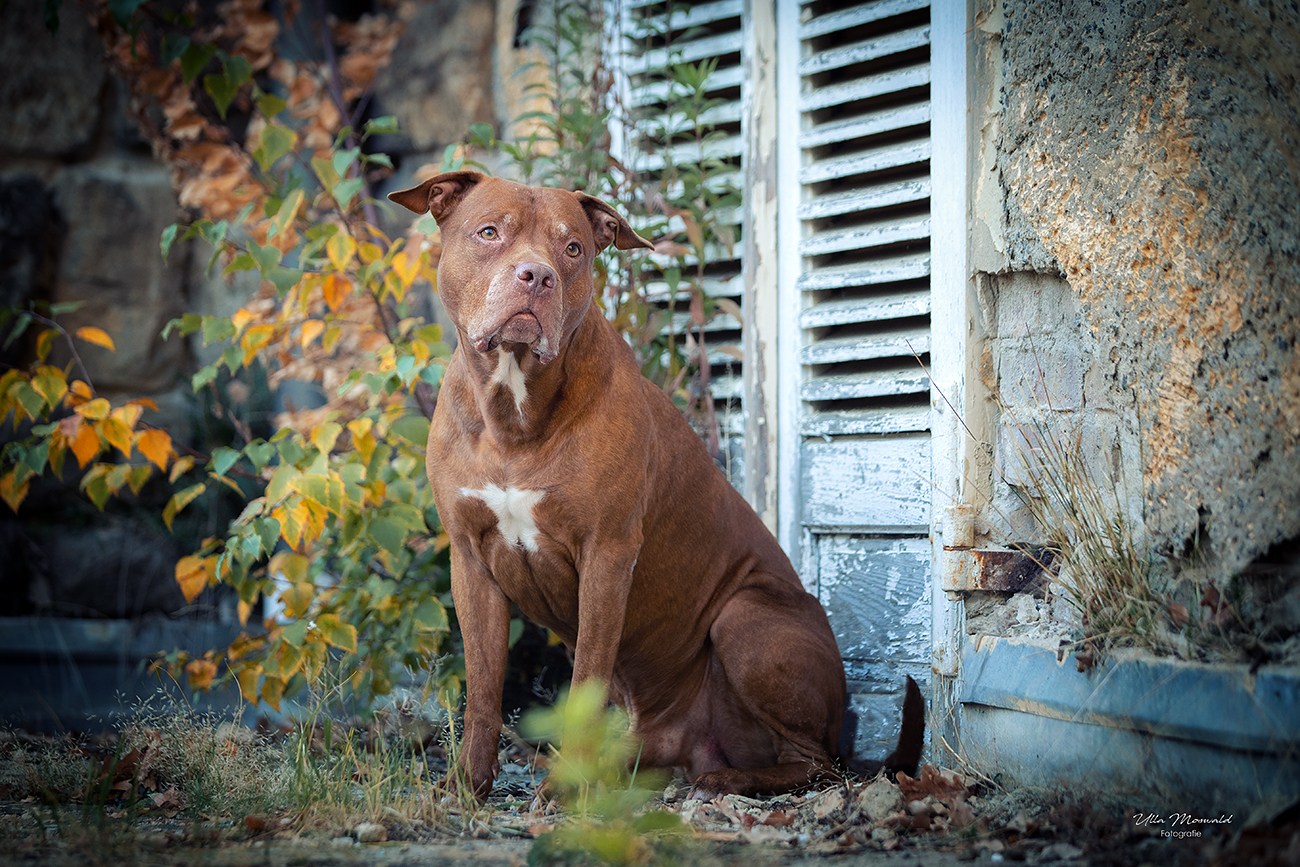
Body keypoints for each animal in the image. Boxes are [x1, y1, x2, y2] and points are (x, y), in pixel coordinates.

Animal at [387, 171, 925, 800]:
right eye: (489, 232)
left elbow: (587, 677)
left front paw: (562, 791)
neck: (514, 410)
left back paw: (729, 779)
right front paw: (466, 787)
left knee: (820, 763)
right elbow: (483, 690)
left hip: (744, 617)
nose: (537, 276)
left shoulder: (606, 555)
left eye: (574, 250)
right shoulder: (471, 561)